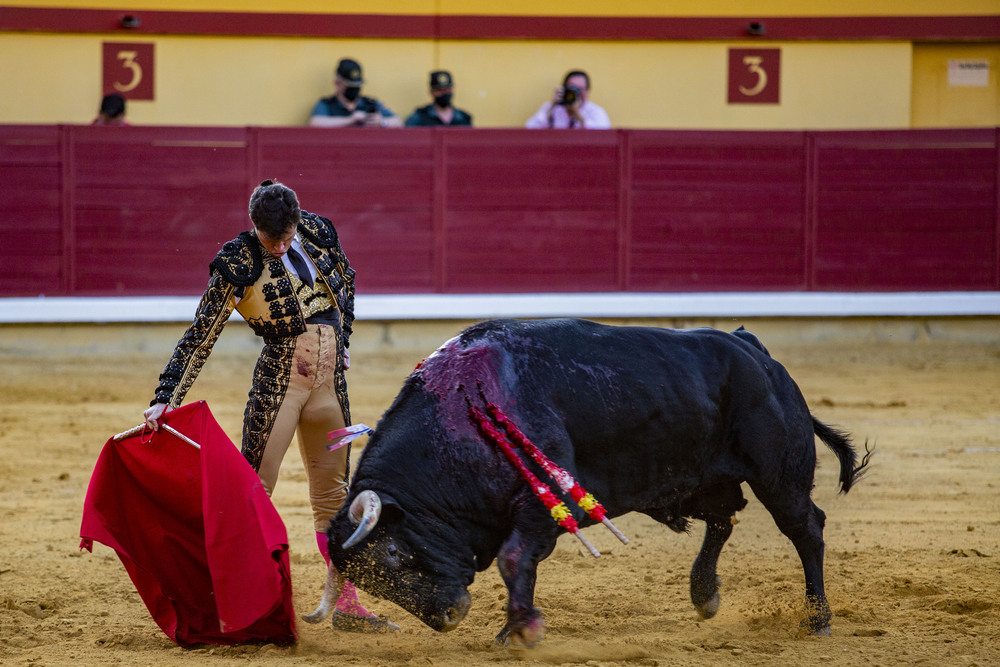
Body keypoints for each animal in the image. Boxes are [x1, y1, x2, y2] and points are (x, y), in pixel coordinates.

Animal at [302, 318, 868, 648]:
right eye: (371, 580)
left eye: (394, 554)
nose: (447, 616)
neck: (461, 417)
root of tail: (754, 349)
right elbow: (520, 563)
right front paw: (514, 626)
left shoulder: (540, 503)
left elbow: (514, 559)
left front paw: (521, 630)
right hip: (693, 480)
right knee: (723, 519)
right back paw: (704, 594)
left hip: (779, 474)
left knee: (805, 528)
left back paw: (817, 619)